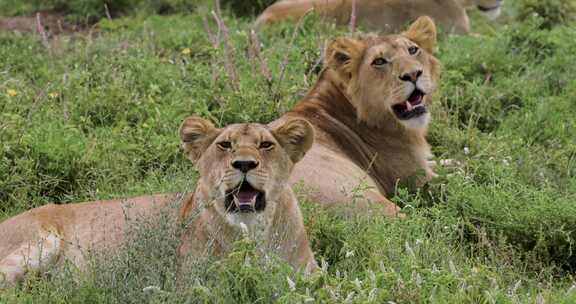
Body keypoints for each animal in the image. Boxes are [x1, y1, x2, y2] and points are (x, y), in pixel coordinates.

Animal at [0, 117, 318, 286]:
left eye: (266, 145)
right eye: (225, 144)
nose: (244, 164)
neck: (253, 230)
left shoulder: (310, 275)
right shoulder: (191, 285)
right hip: (40, 241)